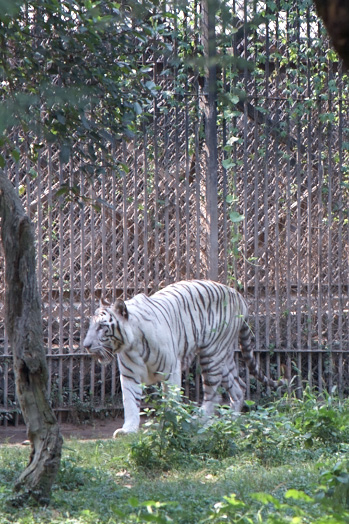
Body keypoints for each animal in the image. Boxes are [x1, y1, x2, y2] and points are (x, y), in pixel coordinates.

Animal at [83, 280, 284, 436]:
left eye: (101, 327)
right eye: (91, 326)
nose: (85, 345)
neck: (132, 345)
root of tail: (239, 295)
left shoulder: (171, 370)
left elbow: (171, 400)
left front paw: (170, 424)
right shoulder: (130, 376)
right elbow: (130, 402)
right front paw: (128, 430)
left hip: (211, 355)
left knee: (212, 395)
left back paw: (198, 420)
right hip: (223, 356)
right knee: (238, 387)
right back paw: (230, 420)